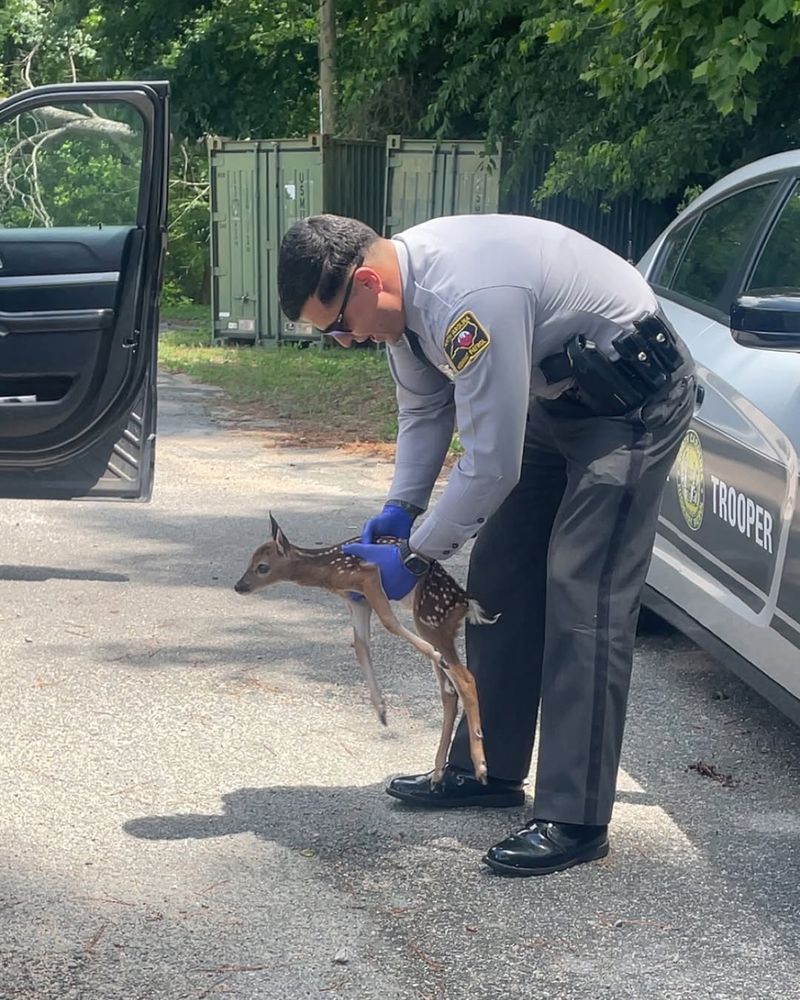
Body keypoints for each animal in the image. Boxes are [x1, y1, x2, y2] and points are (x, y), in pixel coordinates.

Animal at [234, 514, 498, 786]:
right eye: (250, 561)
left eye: (262, 567)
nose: (239, 586)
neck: (327, 570)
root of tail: (466, 604)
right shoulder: (357, 600)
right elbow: (361, 647)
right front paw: (381, 711)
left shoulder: (367, 576)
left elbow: (389, 622)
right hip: (432, 623)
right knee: (449, 693)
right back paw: (435, 775)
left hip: (431, 617)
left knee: (466, 679)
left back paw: (480, 766)